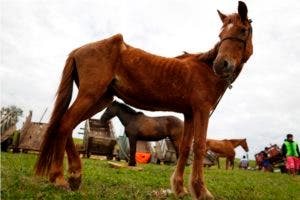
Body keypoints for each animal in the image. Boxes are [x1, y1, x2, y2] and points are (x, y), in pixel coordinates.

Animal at [34, 1, 252, 198]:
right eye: (221, 35)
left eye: (242, 30)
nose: (221, 65)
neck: (205, 70)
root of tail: (78, 50)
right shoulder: (202, 111)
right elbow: (198, 146)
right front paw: (201, 191)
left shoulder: (189, 114)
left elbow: (185, 148)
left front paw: (180, 188)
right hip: (90, 95)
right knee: (65, 124)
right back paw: (60, 178)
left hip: (101, 99)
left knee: (67, 125)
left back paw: (74, 175)